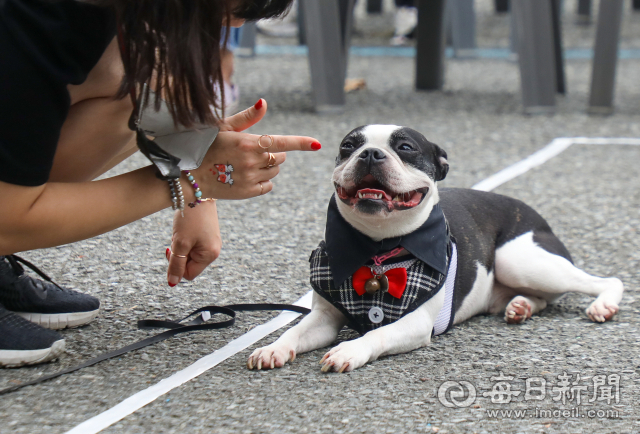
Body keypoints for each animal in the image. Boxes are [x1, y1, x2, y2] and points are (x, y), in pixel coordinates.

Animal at [246, 125, 624, 372]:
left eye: (406, 148)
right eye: (347, 146)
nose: (370, 153)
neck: (378, 245)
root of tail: (539, 217)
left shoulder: (415, 322)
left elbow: (378, 333)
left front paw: (349, 350)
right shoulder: (324, 318)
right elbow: (295, 331)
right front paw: (273, 348)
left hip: (517, 259)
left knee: (605, 281)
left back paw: (602, 305)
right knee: (540, 298)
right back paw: (520, 306)